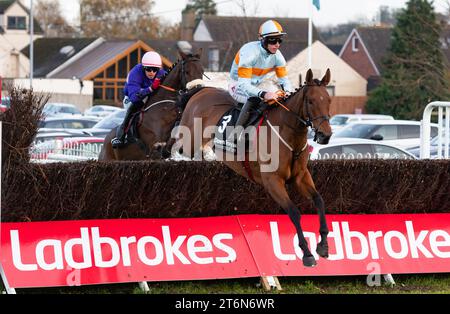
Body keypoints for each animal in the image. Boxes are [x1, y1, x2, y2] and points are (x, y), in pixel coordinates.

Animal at [175, 69, 330, 268]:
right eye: (310, 101)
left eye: (329, 100)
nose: (325, 135)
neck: (289, 138)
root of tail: (201, 90)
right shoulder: (272, 181)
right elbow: (294, 212)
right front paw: (307, 253)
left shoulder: (301, 176)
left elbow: (319, 201)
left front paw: (323, 245)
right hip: (189, 139)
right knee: (177, 147)